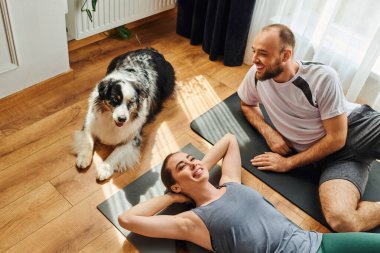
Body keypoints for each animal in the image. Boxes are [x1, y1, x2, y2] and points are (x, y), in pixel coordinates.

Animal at [72, 48, 175, 180]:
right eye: (115, 99)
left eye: (131, 102)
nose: (122, 119)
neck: (110, 122)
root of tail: (150, 50)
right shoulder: (90, 122)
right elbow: (87, 141)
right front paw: (83, 159)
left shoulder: (132, 139)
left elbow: (116, 153)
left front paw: (104, 168)